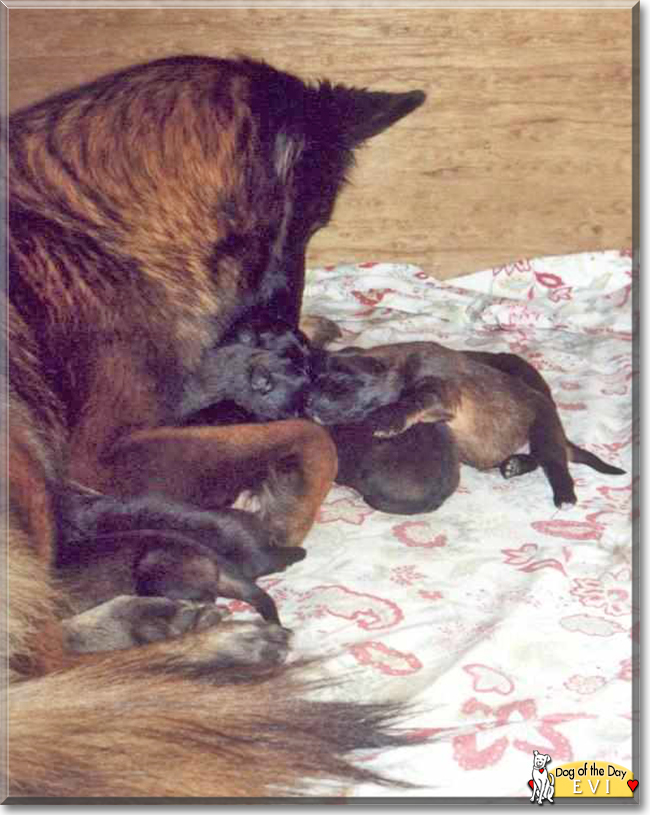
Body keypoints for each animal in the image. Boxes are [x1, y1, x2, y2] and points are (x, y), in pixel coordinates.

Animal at [6, 55, 426, 796]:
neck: (95, 222)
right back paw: (210, 653)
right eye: (313, 221)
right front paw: (285, 511)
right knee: (50, 674)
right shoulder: (107, 457)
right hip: (21, 463)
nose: (280, 320)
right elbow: (313, 437)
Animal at [306, 344, 624, 510]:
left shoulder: (440, 390)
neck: (400, 365)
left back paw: (565, 496)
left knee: (555, 464)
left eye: (340, 385)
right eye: (313, 381)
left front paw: (386, 419)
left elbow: (414, 399)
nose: (308, 404)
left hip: (544, 430)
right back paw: (515, 465)